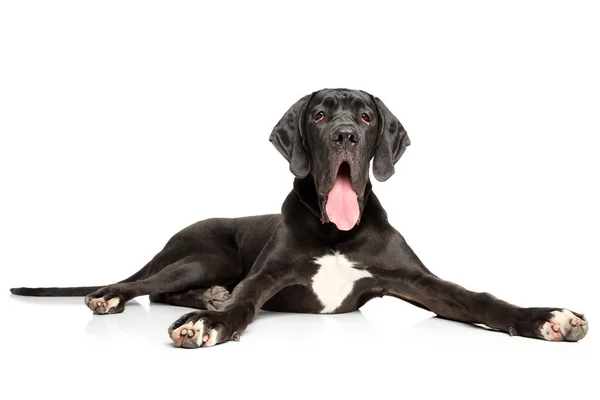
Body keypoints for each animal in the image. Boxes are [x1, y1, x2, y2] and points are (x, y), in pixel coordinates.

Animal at [10, 88, 592, 346]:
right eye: (318, 114)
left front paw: (546, 318)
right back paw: (125, 297)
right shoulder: (268, 274)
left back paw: (206, 298)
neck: (338, 233)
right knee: (146, 284)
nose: (345, 135)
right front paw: (214, 322)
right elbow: (246, 299)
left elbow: (478, 299)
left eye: (366, 117)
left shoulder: (415, 280)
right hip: (202, 255)